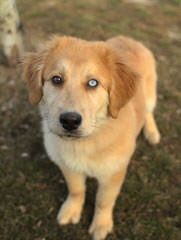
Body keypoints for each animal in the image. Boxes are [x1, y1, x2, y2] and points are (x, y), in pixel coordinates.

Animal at [23, 34, 160, 239]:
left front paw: (101, 225)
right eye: (56, 79)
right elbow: (76, 190)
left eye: (93, 83)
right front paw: (71, 210)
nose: (70, 121)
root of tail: (127, 38)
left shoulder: (112, 174)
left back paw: (152, 132)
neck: (86, 142)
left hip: (150, 94)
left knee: (149, 112)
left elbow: (103, 201)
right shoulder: (68, 165)